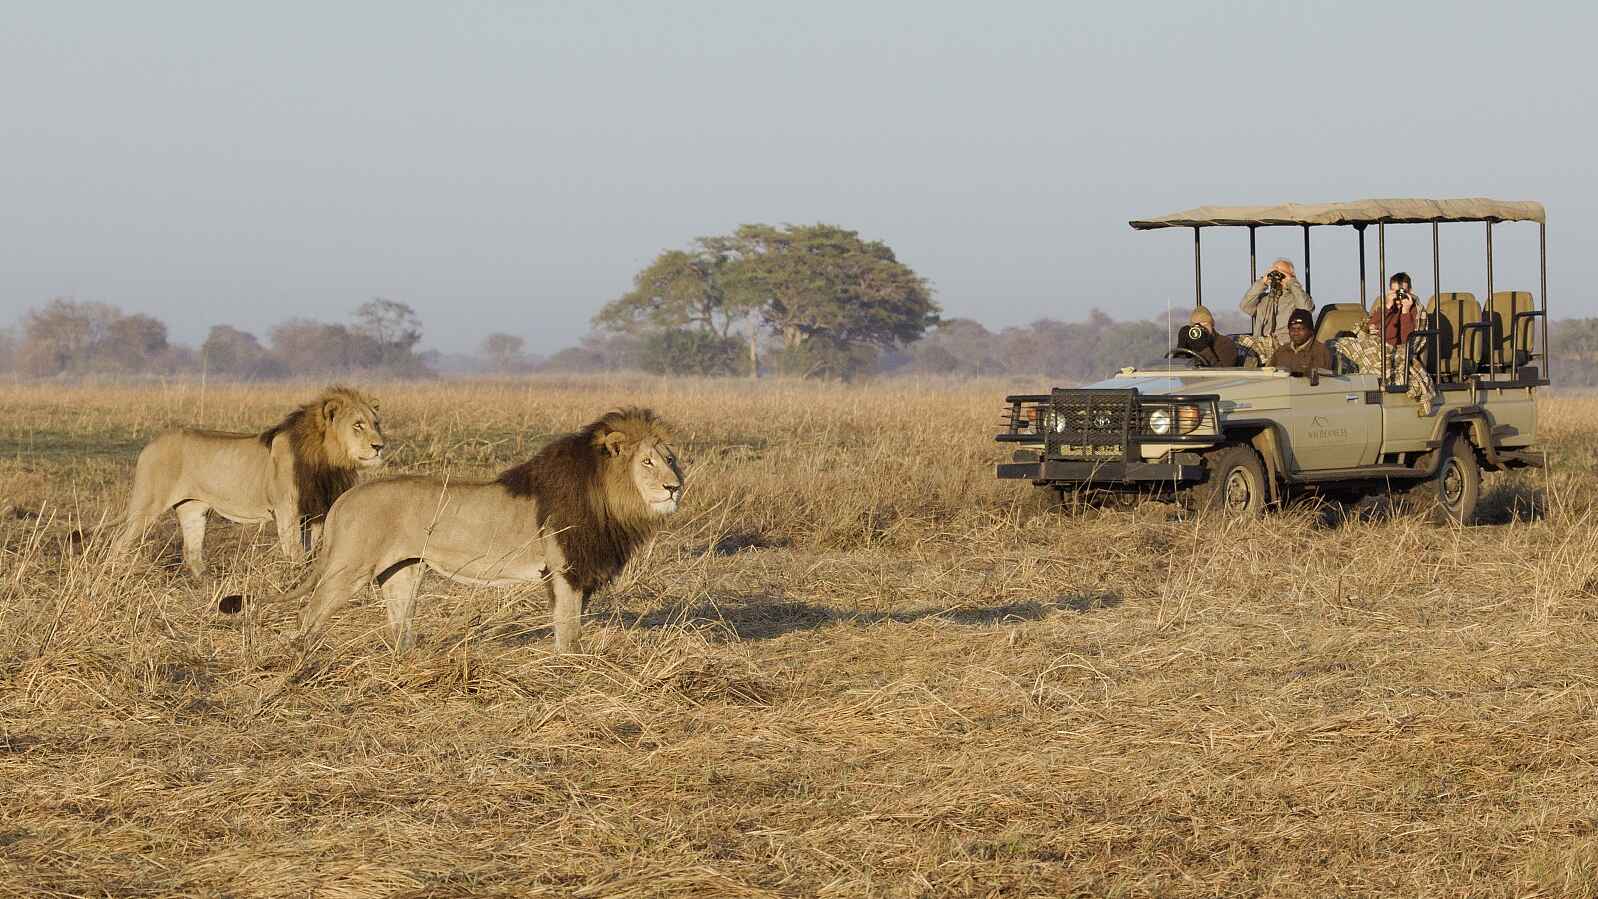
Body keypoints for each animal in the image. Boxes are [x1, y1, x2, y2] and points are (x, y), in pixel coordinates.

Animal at [111, 386, 386, 577]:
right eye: (358, 425)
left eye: (376, 424)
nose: (380, 446)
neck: (327, 459)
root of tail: (151, 444)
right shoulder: (287, 510)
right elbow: (295, 551)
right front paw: (294, 578)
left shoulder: (315, 512)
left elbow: (310, 552)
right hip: (147, 505)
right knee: (119, 543)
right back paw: (119, 573)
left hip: (193, 508)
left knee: (192, 552)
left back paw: (206, 583)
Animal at [218, 407, 684, 655]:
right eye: (647, 462)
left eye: (671, 459)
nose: (675, 487)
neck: (609, 495)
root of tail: (346, 500)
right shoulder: (566, 568)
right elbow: (568, 628)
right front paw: (571, 666)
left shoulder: (580, 572)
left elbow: (573, 623)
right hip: (348, 568)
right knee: (311, 611)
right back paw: (301, 656)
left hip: (403, 571)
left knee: (398, 621)